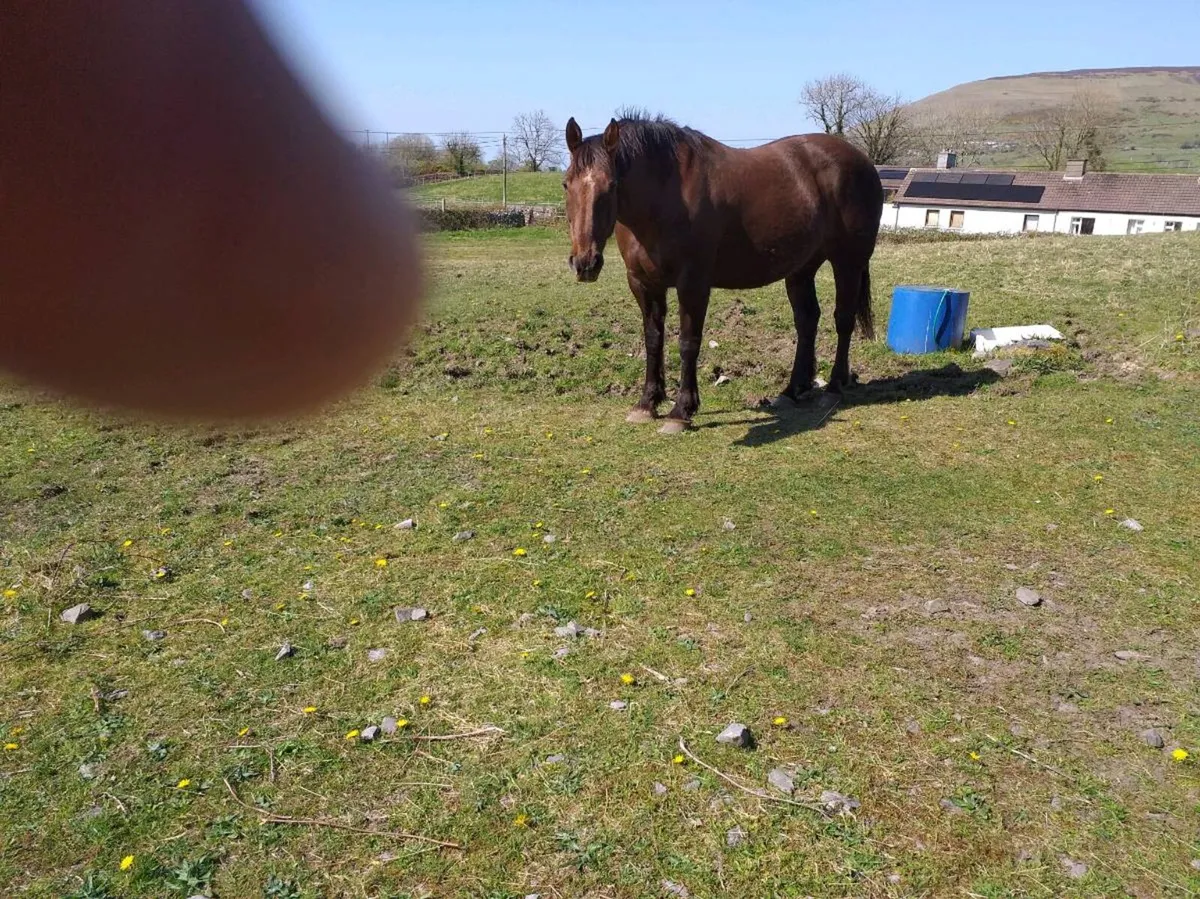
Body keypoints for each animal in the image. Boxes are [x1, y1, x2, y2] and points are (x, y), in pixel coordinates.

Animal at [562, 113, 883, 433]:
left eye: (612, 184)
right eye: (566, 184)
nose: (585, 263)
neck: (665, 195)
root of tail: (862, 161)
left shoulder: (692, 283)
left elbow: (688, 342)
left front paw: (681, 410)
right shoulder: (643, 283)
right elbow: (653, 340)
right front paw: (647, 403)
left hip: (848, 263)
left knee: (843, 319)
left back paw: (833, 388)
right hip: (801, 269)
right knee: (807, 321)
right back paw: (792, 391)